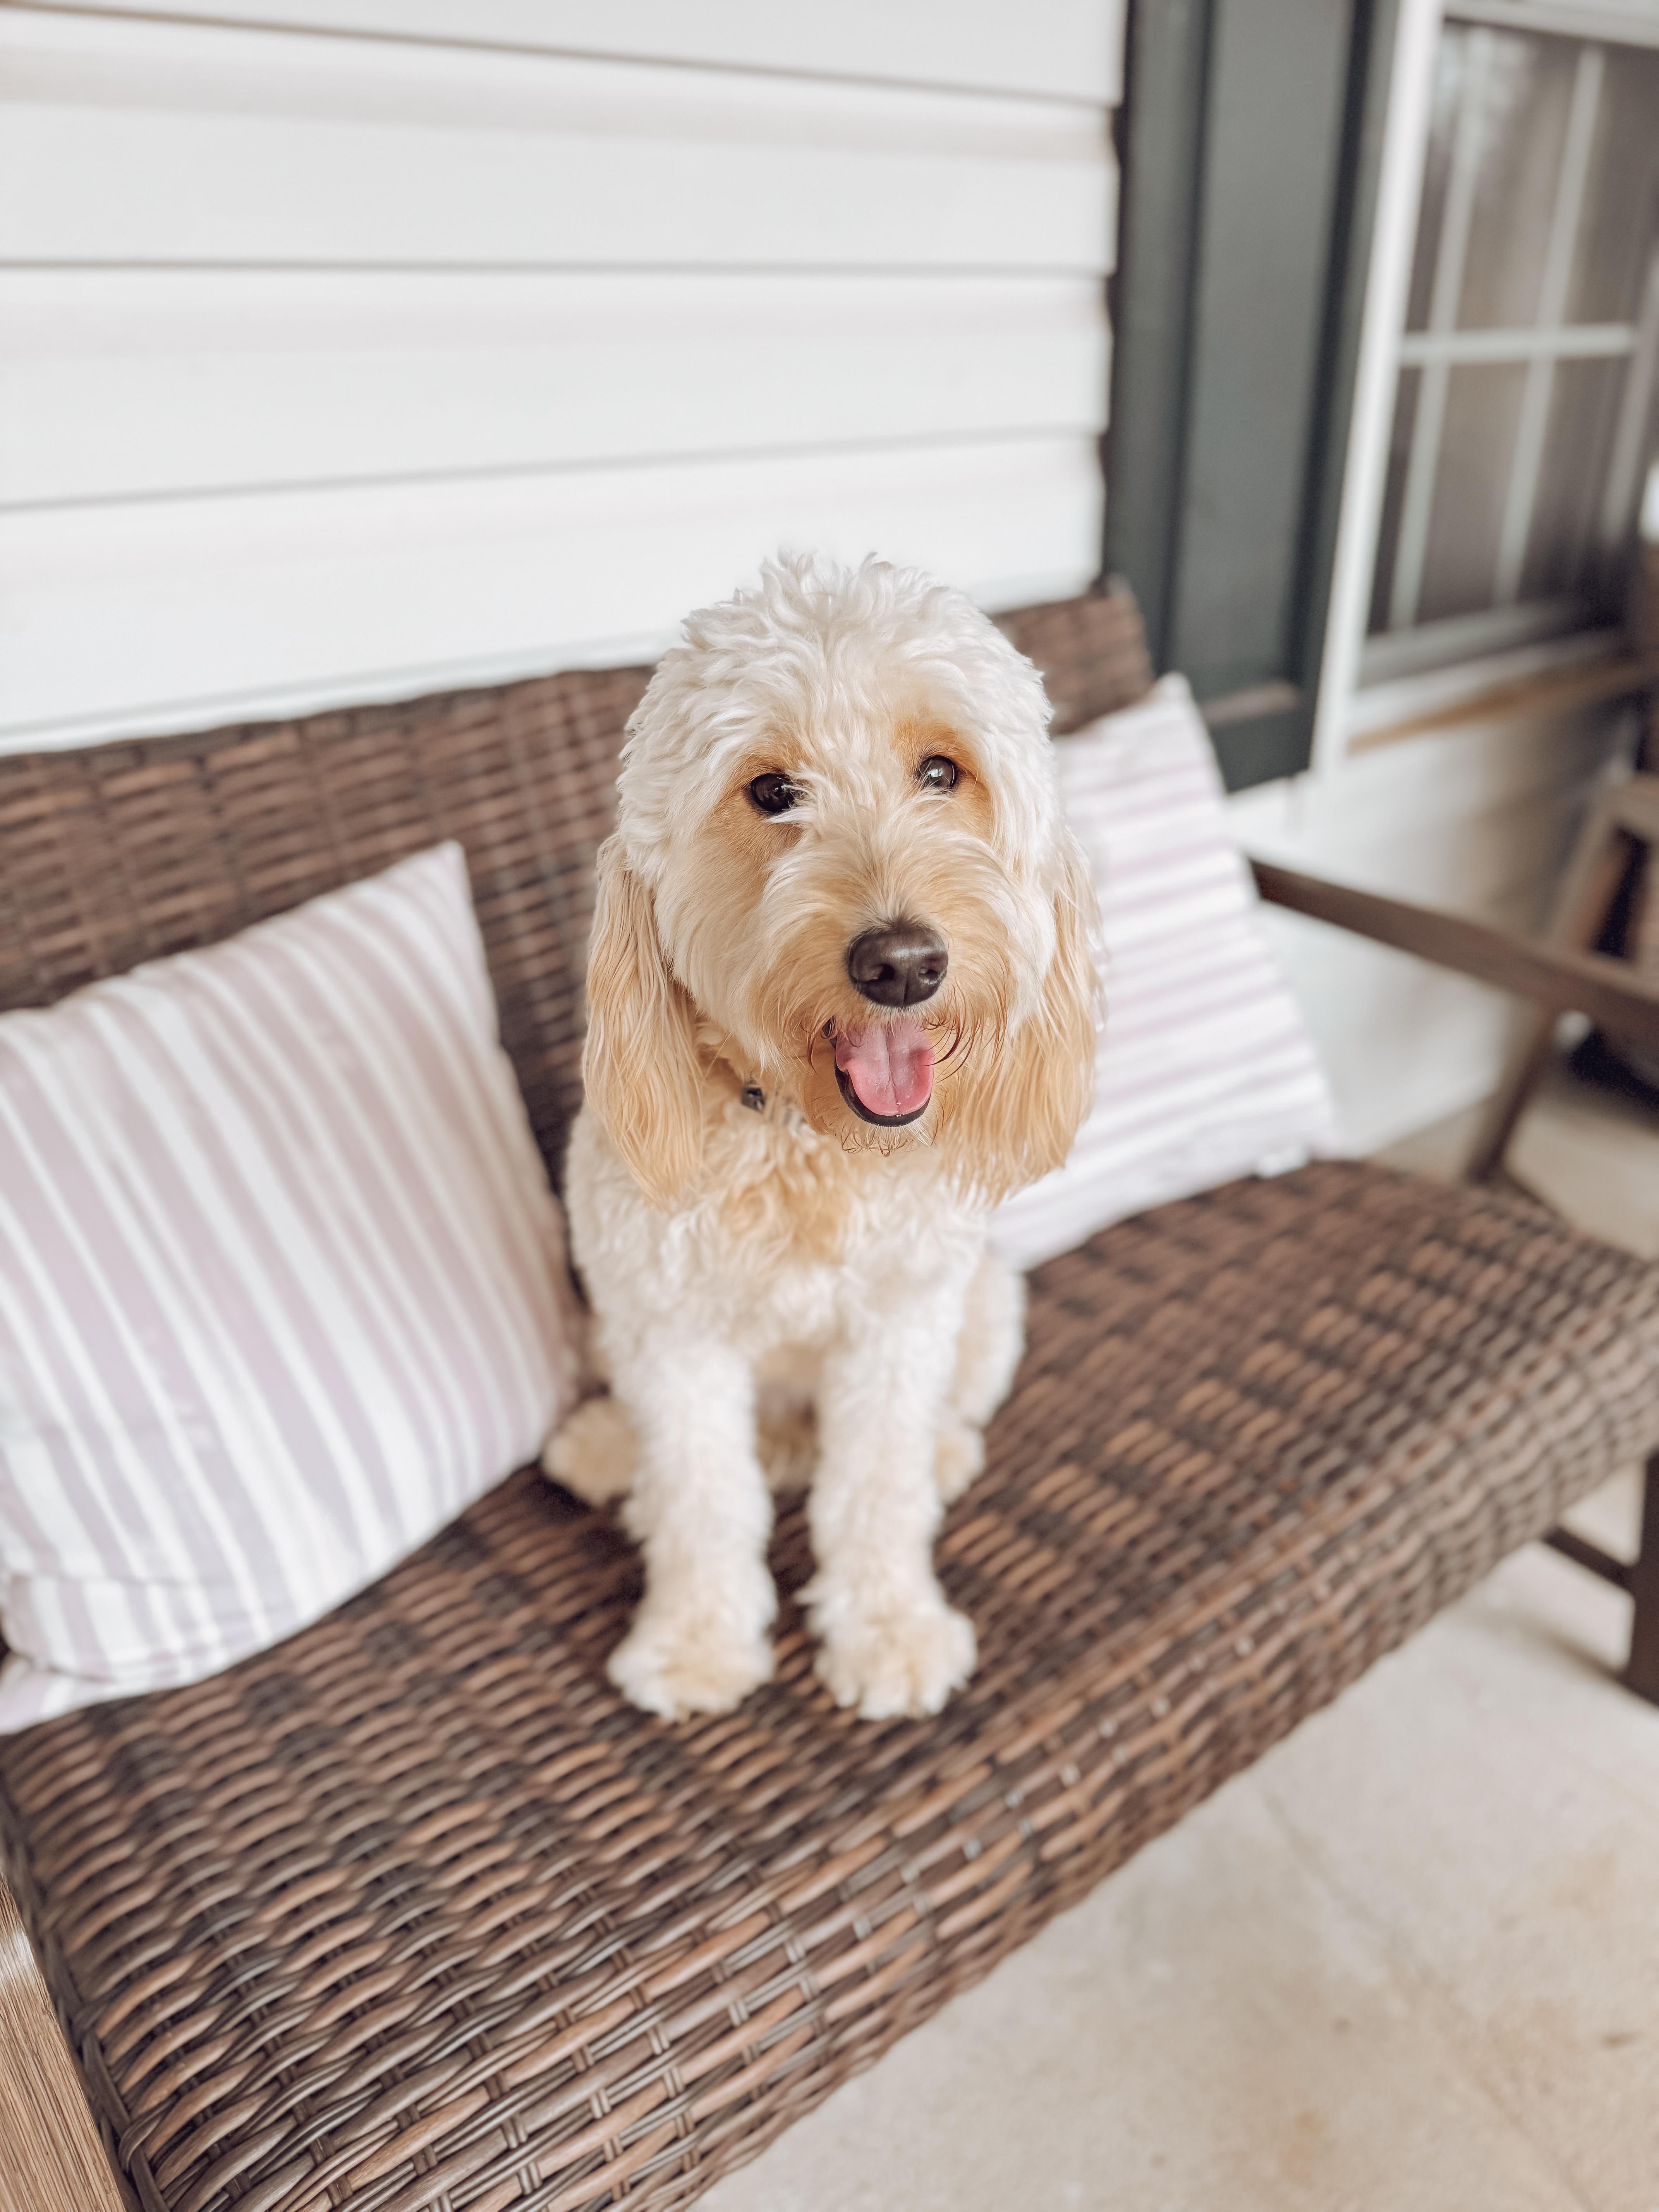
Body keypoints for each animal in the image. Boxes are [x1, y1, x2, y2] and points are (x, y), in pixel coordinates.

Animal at [546, 553, 1098, 1721]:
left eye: (941, 772)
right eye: (769, 792)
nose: (902, 965)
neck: (809, 1141)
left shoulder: (897, 1326)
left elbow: (874, 1489)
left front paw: (888, 1631)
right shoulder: (673, 1335)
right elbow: (702, 1498)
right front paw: (695, 1642)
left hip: (987, 1297)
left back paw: (942, 1451)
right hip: (612, 1312)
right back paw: (610, 1450)